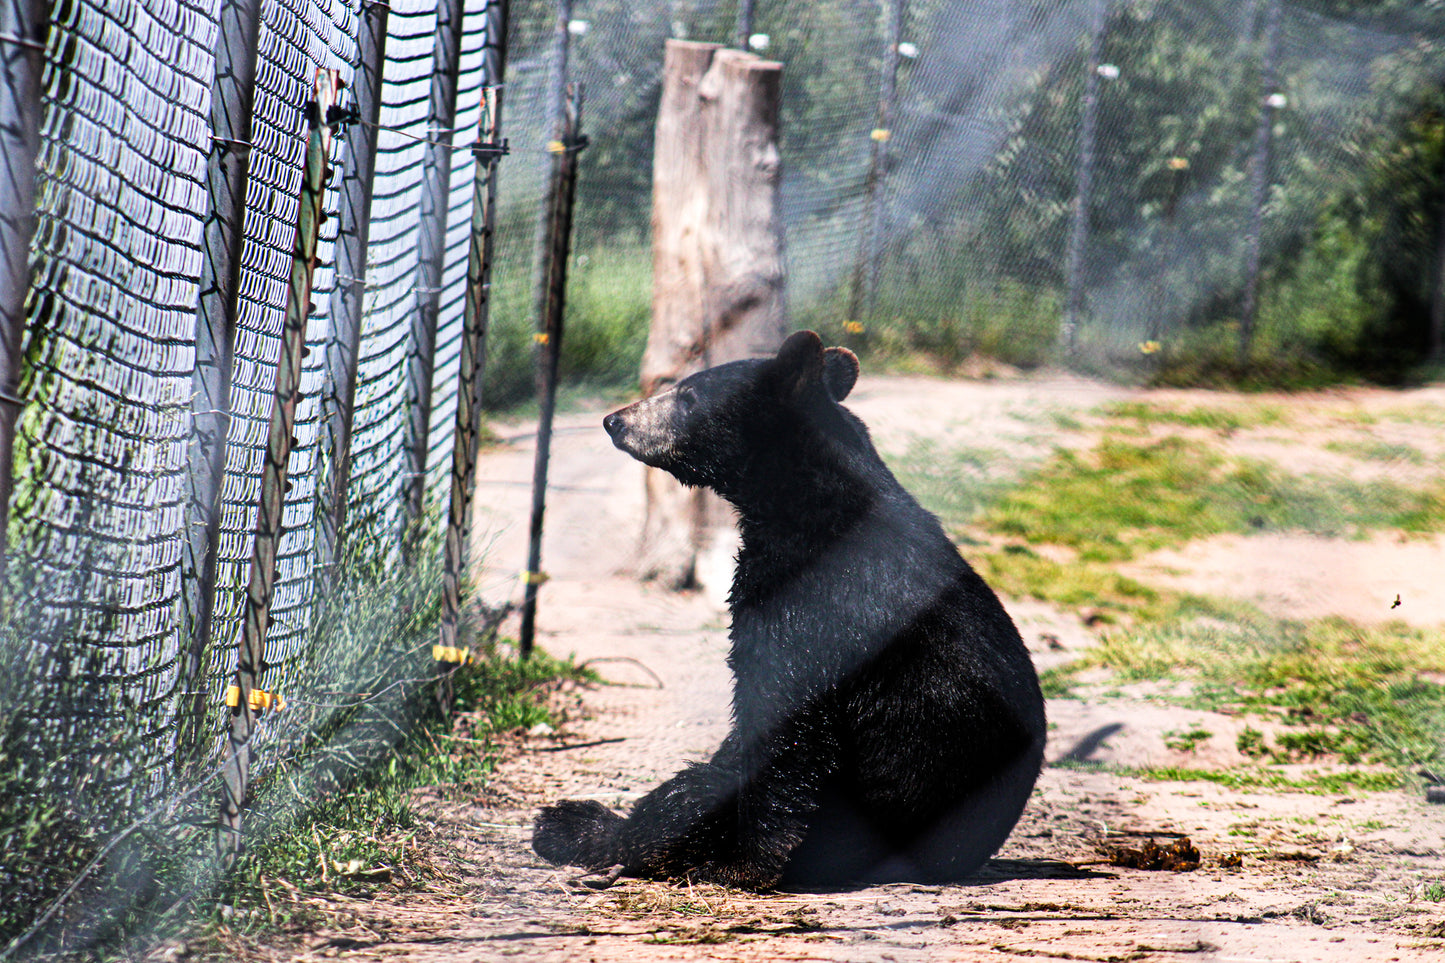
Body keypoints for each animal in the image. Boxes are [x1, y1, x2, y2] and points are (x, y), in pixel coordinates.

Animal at [532, 330, 1046, 889]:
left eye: (687, 395)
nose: (615, 420)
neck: (803, 499)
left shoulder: (814, 593)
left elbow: (786, 715)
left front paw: (743, 863)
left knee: (691, 793)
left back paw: (573, 827)